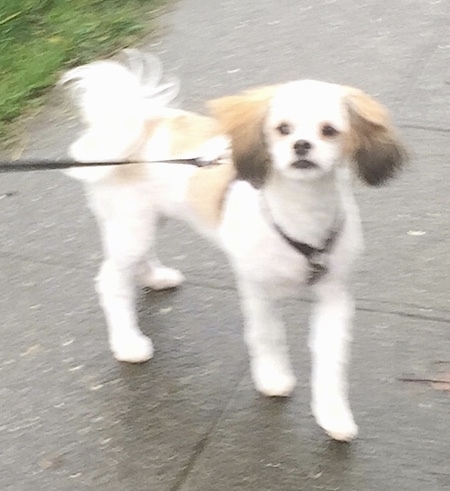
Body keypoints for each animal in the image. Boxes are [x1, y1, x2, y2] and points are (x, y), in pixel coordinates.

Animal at [59, 51, 404, 442]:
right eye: (282, 129)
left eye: (329, 130)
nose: (301, 146)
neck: (301, 212)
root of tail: (134, 123)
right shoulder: (258, 287)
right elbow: (267, 335)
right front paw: (273, 378)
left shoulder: (335, 292)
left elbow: (330, 359)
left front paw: (333, 413)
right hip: (132, 226)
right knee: (111, 281)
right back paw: (129, 343)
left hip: (145, 220)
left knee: (135, 261)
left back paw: (154, 277)